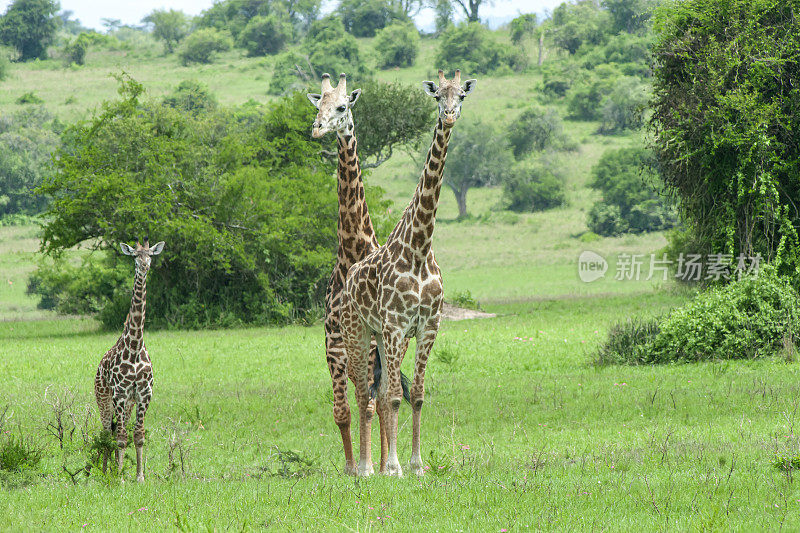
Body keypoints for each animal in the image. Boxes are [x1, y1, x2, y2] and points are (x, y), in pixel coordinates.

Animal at [94, 239, 162, 480]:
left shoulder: (143, 394)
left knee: (116, 433)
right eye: (134, 256)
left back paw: (114, 468)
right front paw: (121, 477)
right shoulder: (120, 393)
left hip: (128, 404)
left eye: (151, 254)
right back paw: (106, 471)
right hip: (104, 399)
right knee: (107, 433)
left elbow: (138, 435)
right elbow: (122, 438)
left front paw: (140, 476)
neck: (134, 347)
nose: (144, 266)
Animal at [342, 69, 476, 474]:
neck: (418, 248)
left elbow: (415, 394)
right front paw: (395, 467)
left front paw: (416, 465)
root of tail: (348, 277)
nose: (449, 115)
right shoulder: (397, 326)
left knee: (380, 390)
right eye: (437, 96)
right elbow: (393, 396)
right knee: (363, 392)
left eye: (461, 95)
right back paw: (366, 467)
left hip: (380, 338)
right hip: (358, 333)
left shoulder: (428, 326)